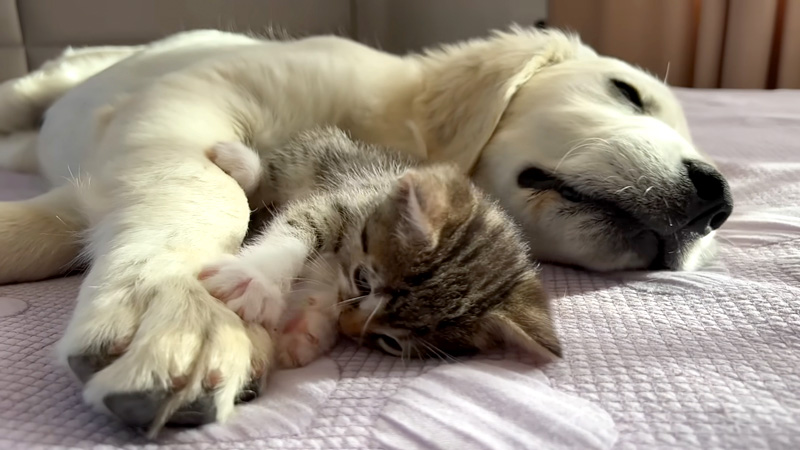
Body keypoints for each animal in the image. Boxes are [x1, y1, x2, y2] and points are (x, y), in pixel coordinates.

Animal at [200, 128, 564, 368]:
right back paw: (243, 164)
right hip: (321, 151)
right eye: (362, 280)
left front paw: (306, 329)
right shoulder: (346, 199)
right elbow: (300, 226)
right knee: (275, 172)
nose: (348, 329)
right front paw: (252, 277)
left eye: (390, 343)